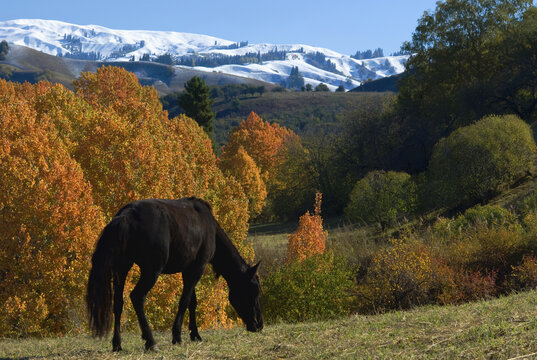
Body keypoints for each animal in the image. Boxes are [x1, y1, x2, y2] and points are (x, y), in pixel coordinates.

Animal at [85, 197, 262, 352]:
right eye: (253, 291)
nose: (259, 325)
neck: (208, 226)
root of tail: (126, 216)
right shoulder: (197, 268)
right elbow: (184, 301)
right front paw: (177, 335)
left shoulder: (188, 269)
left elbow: (192, 302)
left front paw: (195, 334)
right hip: (151, 272)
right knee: (137, 297)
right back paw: (151, 342)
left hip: (121, 270)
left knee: (118, 303)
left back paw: (117, 343)